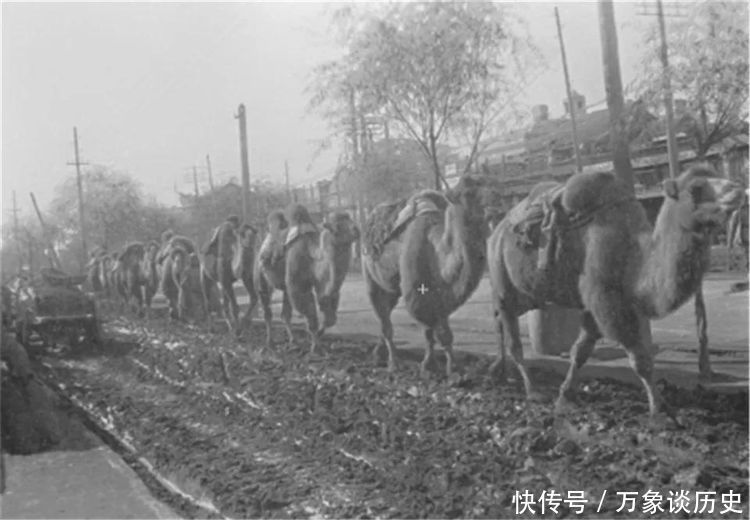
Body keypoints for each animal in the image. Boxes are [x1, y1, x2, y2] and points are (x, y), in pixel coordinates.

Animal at [488, 165, 748, 420]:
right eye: (696, 188)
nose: (738, 189)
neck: (634, 259)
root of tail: (496, 231)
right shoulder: (607, 301)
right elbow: (640, 359)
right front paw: (660, 410)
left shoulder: (593, 306)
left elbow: (581, 351)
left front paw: (565, 397)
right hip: (501, 279)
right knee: (512, 338)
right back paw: (532, 390)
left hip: (526, 295)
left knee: (499, 320)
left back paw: (499, 372)